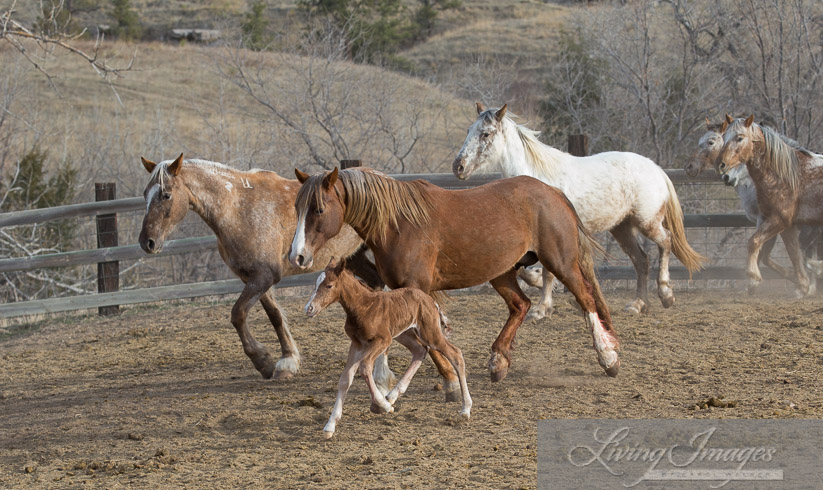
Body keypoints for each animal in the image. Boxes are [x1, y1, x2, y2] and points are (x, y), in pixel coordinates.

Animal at [140, 155, 384, 380]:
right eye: (145, 194)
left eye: (166, 195)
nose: (147, 242)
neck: (238, 209)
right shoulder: (253, 277)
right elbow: (274, 315)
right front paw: (287, 361)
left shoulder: (265, 276)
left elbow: (237, 314)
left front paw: (263, 361)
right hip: (352, 257)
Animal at [288, 167, 616, 388]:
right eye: (297, 208)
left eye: (318, 209)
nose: (297, 256)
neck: (398, 225)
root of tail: (552, 192)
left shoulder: (417, 289)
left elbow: (430, 339)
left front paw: (450, 380)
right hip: (502, 272)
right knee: (520, 305)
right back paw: (498, 361)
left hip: (561, 263)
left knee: (586, 299)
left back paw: (608, 358)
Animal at [304, 258, 474, 438]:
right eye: (316, 284)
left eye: (329, 285)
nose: (309, 308)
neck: (364, 307)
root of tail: (430, 300)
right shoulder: (357, 344)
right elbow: (345, 379)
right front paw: (330, 426)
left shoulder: (382, 341)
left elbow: (365, 368)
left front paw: (384, 406)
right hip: (403, 334)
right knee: (420, 351)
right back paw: (392, 395)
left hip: (429, 334)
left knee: (455, 354)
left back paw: (465, 409)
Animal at [454, 104, 704, 318]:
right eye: (468, 130)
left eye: (486, 134)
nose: (458, 166)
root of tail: (657, 169)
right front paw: (541, 287)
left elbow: (548, 272)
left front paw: (541, 308)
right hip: (622, 228)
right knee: (641, 260)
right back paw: (637, 305)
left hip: (647, 223)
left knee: (665, 242)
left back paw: (666, 294)